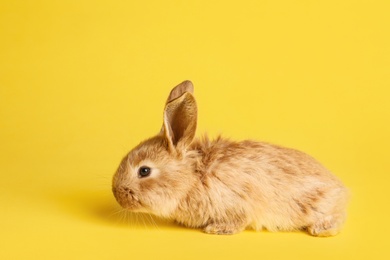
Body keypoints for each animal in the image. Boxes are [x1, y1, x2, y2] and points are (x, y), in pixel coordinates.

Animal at [111, 80, 348, 236]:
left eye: (144, 171)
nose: (116, 193)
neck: (191, 178)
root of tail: (342, 189)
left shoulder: (235, 203)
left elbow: (239, 220)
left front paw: (217, 229)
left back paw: (320, 229)